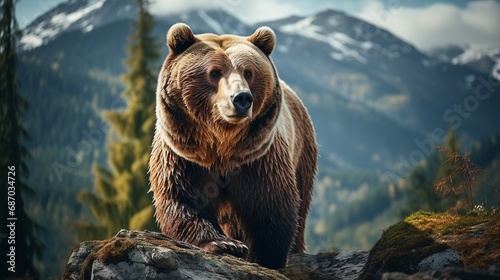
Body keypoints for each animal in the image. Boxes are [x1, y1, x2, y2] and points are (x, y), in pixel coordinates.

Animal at [148, 22, 318, 270]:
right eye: (214, 72)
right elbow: (183, 198)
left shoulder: (258, 159)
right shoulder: (184, 157)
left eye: (248, 71)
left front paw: (264, 257)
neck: (222, 145)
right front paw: (226, 244)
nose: (241, 98)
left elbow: (270, 205)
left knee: (302, 207)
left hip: (302, 152)